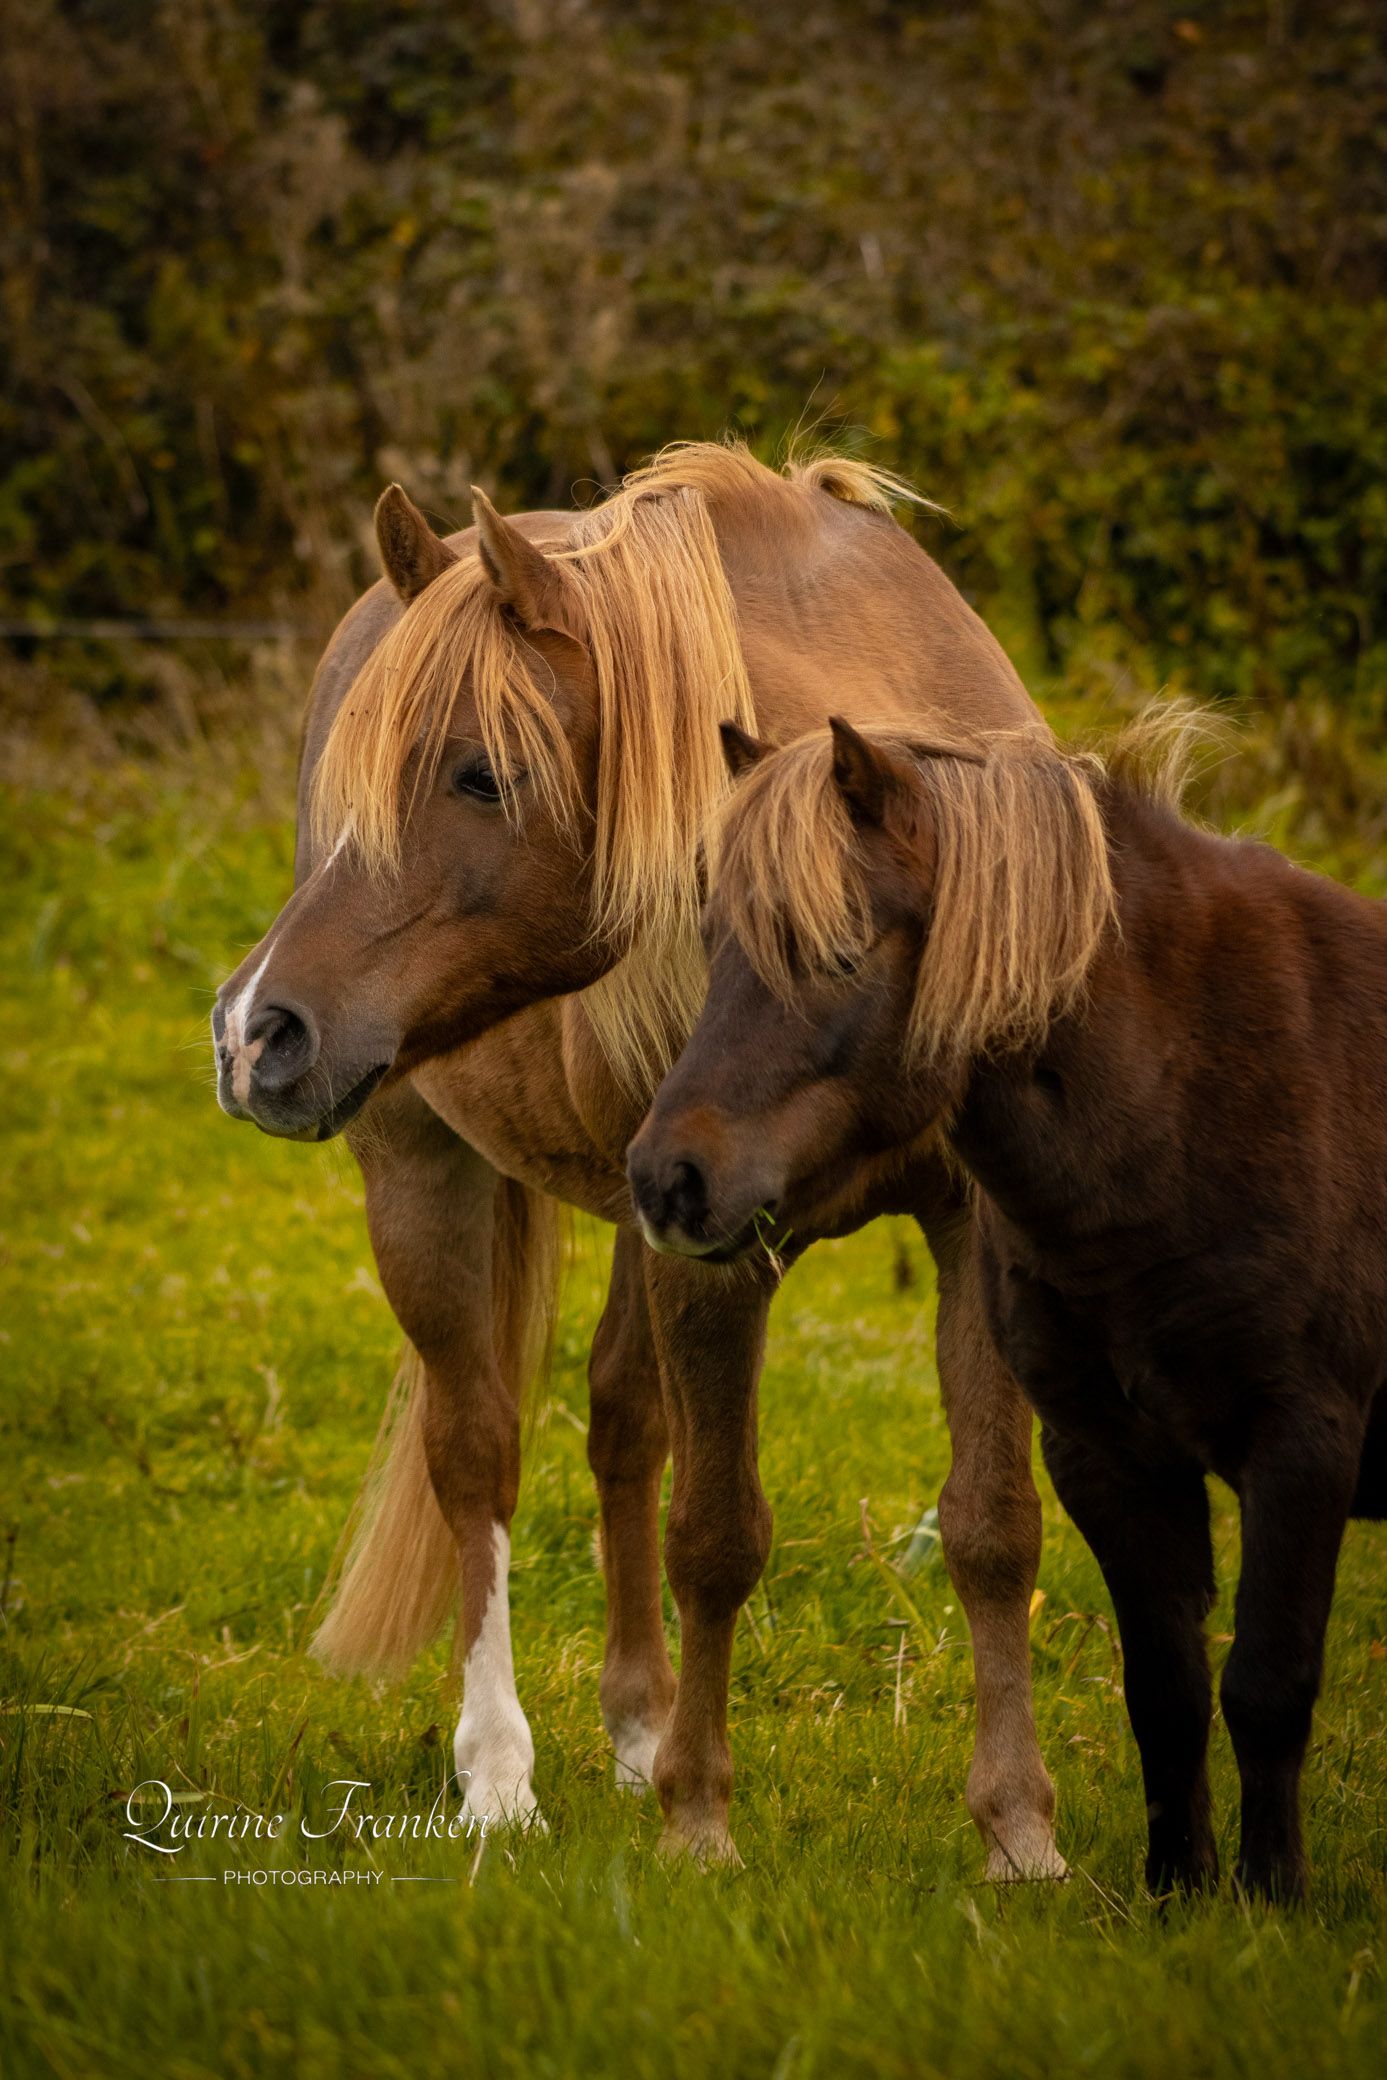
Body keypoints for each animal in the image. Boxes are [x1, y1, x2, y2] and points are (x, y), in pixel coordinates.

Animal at [211, 441, 1065, 1874]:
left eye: (482, 774)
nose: (254, 1031)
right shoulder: (716, 1258)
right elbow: (716, 1535)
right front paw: (700, 1828)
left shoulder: (968, 1228)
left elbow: (993, 1524)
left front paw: (1017, 1833)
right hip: (419, 1174)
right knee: (479, 1454)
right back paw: (500, 1773)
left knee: (620, 1421)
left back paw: (633, 1726)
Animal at [628, 712, 1387, 1899]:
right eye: (712, 949)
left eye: (838, 953)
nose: (667, 1181)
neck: (1198, 1096)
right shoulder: (1108, 1455)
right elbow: (1163, 1690)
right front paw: (1177, 1893)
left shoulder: (1304, 1443)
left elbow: (1264, 1683)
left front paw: (1269, 1898)